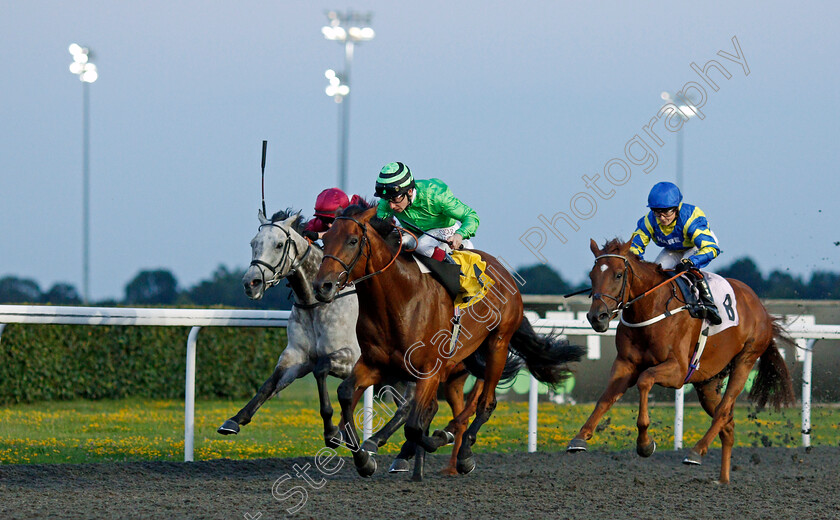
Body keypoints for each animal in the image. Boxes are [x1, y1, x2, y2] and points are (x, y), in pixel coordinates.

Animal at [312, 205, 580, 478]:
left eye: (352, 240)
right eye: (326, 239)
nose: (322, 286)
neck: (399, 301)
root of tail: (506, 274)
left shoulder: (429, 370)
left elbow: (415, 426)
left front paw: (437, 439)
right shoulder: (376, 364)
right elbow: (346, 394)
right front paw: (362, 459)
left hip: (498, 344)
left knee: (485, 403)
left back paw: (462, 453)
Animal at [564, 240, 796, 484]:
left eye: (618, 275)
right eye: (592, 275)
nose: (596, 317)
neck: (651, 308)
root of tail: (762, 310)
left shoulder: (677, 370)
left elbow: (645, 380)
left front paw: (645, 444)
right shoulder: (625, 364)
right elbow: (605, 399)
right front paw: (580, 438)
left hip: (746, 359)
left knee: (723, 412)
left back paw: (696, 452)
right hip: (708, 381)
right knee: (728, 425)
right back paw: (723, 480)